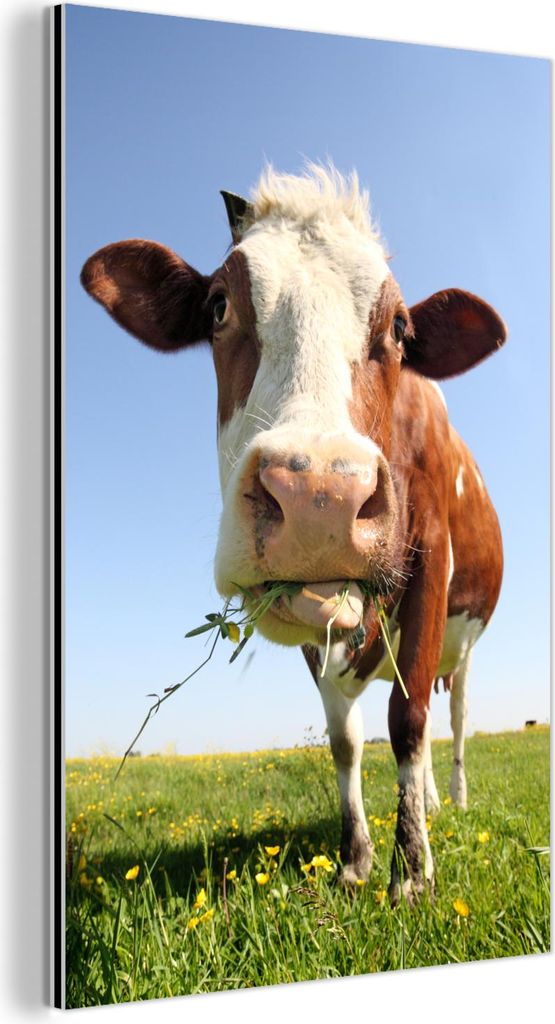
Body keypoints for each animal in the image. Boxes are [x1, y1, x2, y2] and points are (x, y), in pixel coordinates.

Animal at [81, 165, 505, 904]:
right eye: (217, 307)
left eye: (400, 328)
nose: (320, 498)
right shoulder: (311, 615)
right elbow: (344, 738)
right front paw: (358, 860)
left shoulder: (430, 561)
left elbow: (407, 719)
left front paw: (412, 873)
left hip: (466, 645)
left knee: (448, 720)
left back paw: (448, 800)